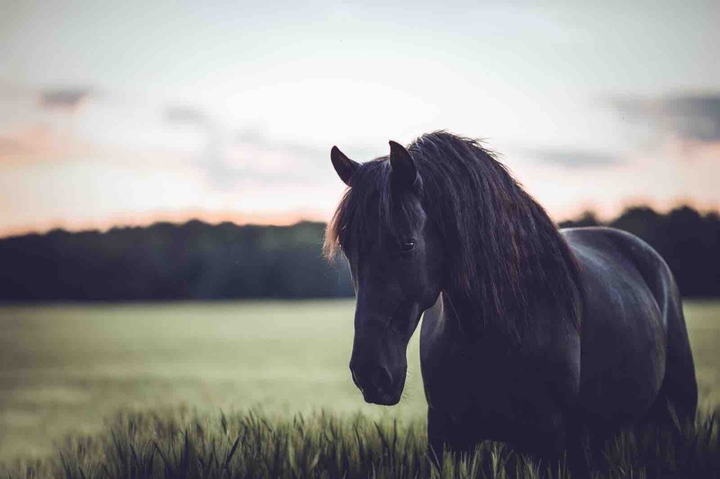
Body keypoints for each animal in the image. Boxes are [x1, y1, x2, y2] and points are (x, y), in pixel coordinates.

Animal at [323, 131, 698, 472]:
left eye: (407, 244)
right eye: (348, 248)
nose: (371, 374)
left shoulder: (550, 443)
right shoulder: (446, 438)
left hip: (675, 414)